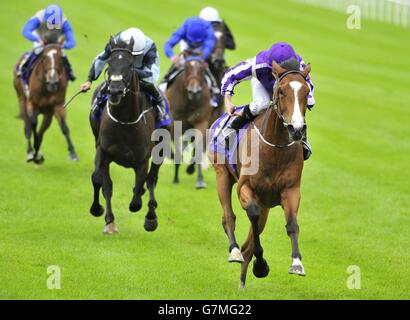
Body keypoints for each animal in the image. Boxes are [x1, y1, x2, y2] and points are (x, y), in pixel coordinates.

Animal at [13, 36, 78, 164]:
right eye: (43, 58)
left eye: (60, 58)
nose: (52, 82)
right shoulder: (32, 103)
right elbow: (33, 123)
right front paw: (34, 153)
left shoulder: (57, 106)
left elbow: (64, 127)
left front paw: (73, 153)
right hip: (22, 100)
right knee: (27, 127)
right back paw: (30, 152)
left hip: (48, 114)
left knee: (41, 131)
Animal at [89, 37, 162, 235]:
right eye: (109, 62)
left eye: (130, 65)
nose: (114, 90)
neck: (124, 121)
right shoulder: (103, 151)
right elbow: (101, 181)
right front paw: (104, 216)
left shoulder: (142, 160)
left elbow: (137, 197)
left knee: (151, 180)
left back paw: (151, 217)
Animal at [166, 55, 211, 189]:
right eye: (186, 68)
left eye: (202, 70)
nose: (194, 92)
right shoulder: (175, 125)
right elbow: (177, 149)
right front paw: (176, 177)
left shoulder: (201, 122)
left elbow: (198, 147)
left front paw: (199, 179)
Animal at [210, 60, 312, 288]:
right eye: (281, 91)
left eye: (306, 91)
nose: (296, 129)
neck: (275, 150)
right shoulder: (245, 189)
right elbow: (252, 217)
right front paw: (261, 264)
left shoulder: (291, 191)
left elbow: (292, 225)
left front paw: (297, 263)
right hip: (222, 174)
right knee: (229, 217)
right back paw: (235, 251)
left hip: (265, 203)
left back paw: (242, 281)